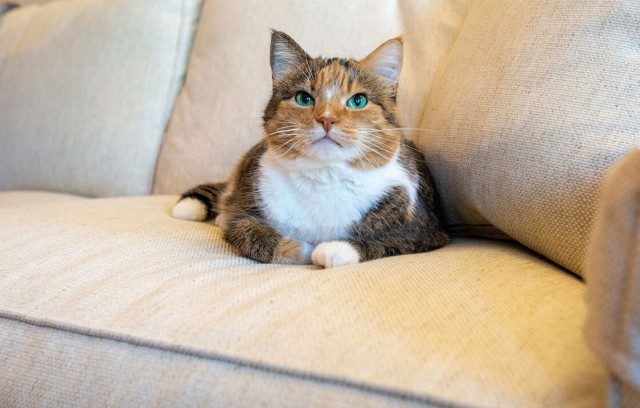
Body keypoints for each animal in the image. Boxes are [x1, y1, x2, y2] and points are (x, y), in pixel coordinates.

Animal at [172, 31, 448, 268]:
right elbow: (250, 233)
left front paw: (333, 249)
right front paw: (302, 249)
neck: (324, 178)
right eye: (304, 98)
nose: (326, 119)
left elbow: (387, 242)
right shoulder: (245, 213)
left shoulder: (426, 231)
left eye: (358, 101)